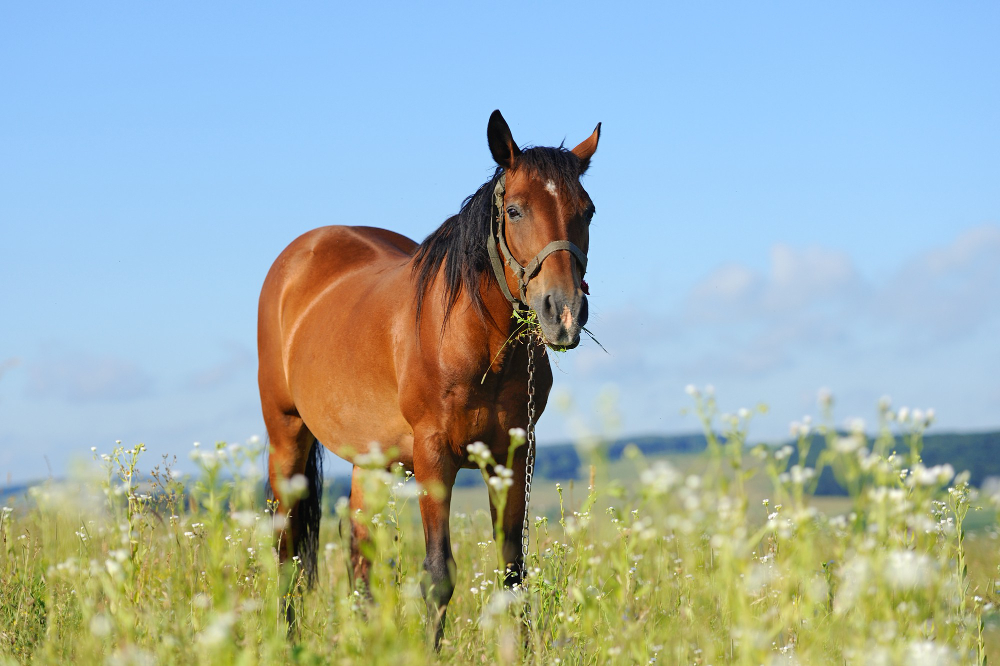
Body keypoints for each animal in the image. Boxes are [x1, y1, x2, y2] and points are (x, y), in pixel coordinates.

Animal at [257, 109, 599, 644]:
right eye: (515, 211)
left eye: (587, 211)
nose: (563, 313)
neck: (476, 343)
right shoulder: (433, 457)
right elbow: (439, 575)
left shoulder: (512, 455)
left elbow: (513, 572)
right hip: (286, 439)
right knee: (286, 552)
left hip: (369, 461)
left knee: (359, 558)